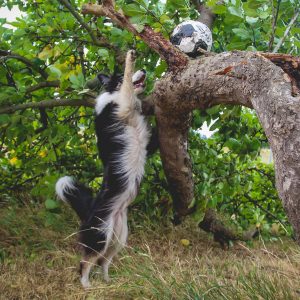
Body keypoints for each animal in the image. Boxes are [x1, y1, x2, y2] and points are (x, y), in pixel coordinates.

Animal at [55, 50, 157, 288]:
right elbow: (128, 84)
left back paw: (107, 280)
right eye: (116, 76)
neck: (113, 96)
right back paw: (86, 286)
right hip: (100, 235)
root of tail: (88, 212)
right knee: (85, 263)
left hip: (119, 237)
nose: (144, 69)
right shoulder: (123, 105)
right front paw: (130, 58)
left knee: (103, 261)